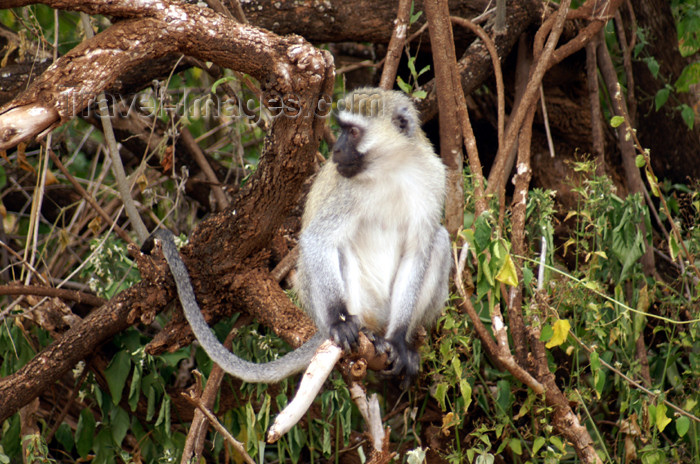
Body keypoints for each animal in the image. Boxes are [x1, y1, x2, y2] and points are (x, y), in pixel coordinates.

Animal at [150, 88, 452, 388]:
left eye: (353, 132)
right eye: (342, 129)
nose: (336, 150)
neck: (390, 171)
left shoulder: (433, 179)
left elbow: (417, 253)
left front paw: (399, 342)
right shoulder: (348, 191)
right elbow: (320, 239)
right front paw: (340, 321)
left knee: (439, 241)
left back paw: (394, 340)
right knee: (340, 249)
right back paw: (363, 330)